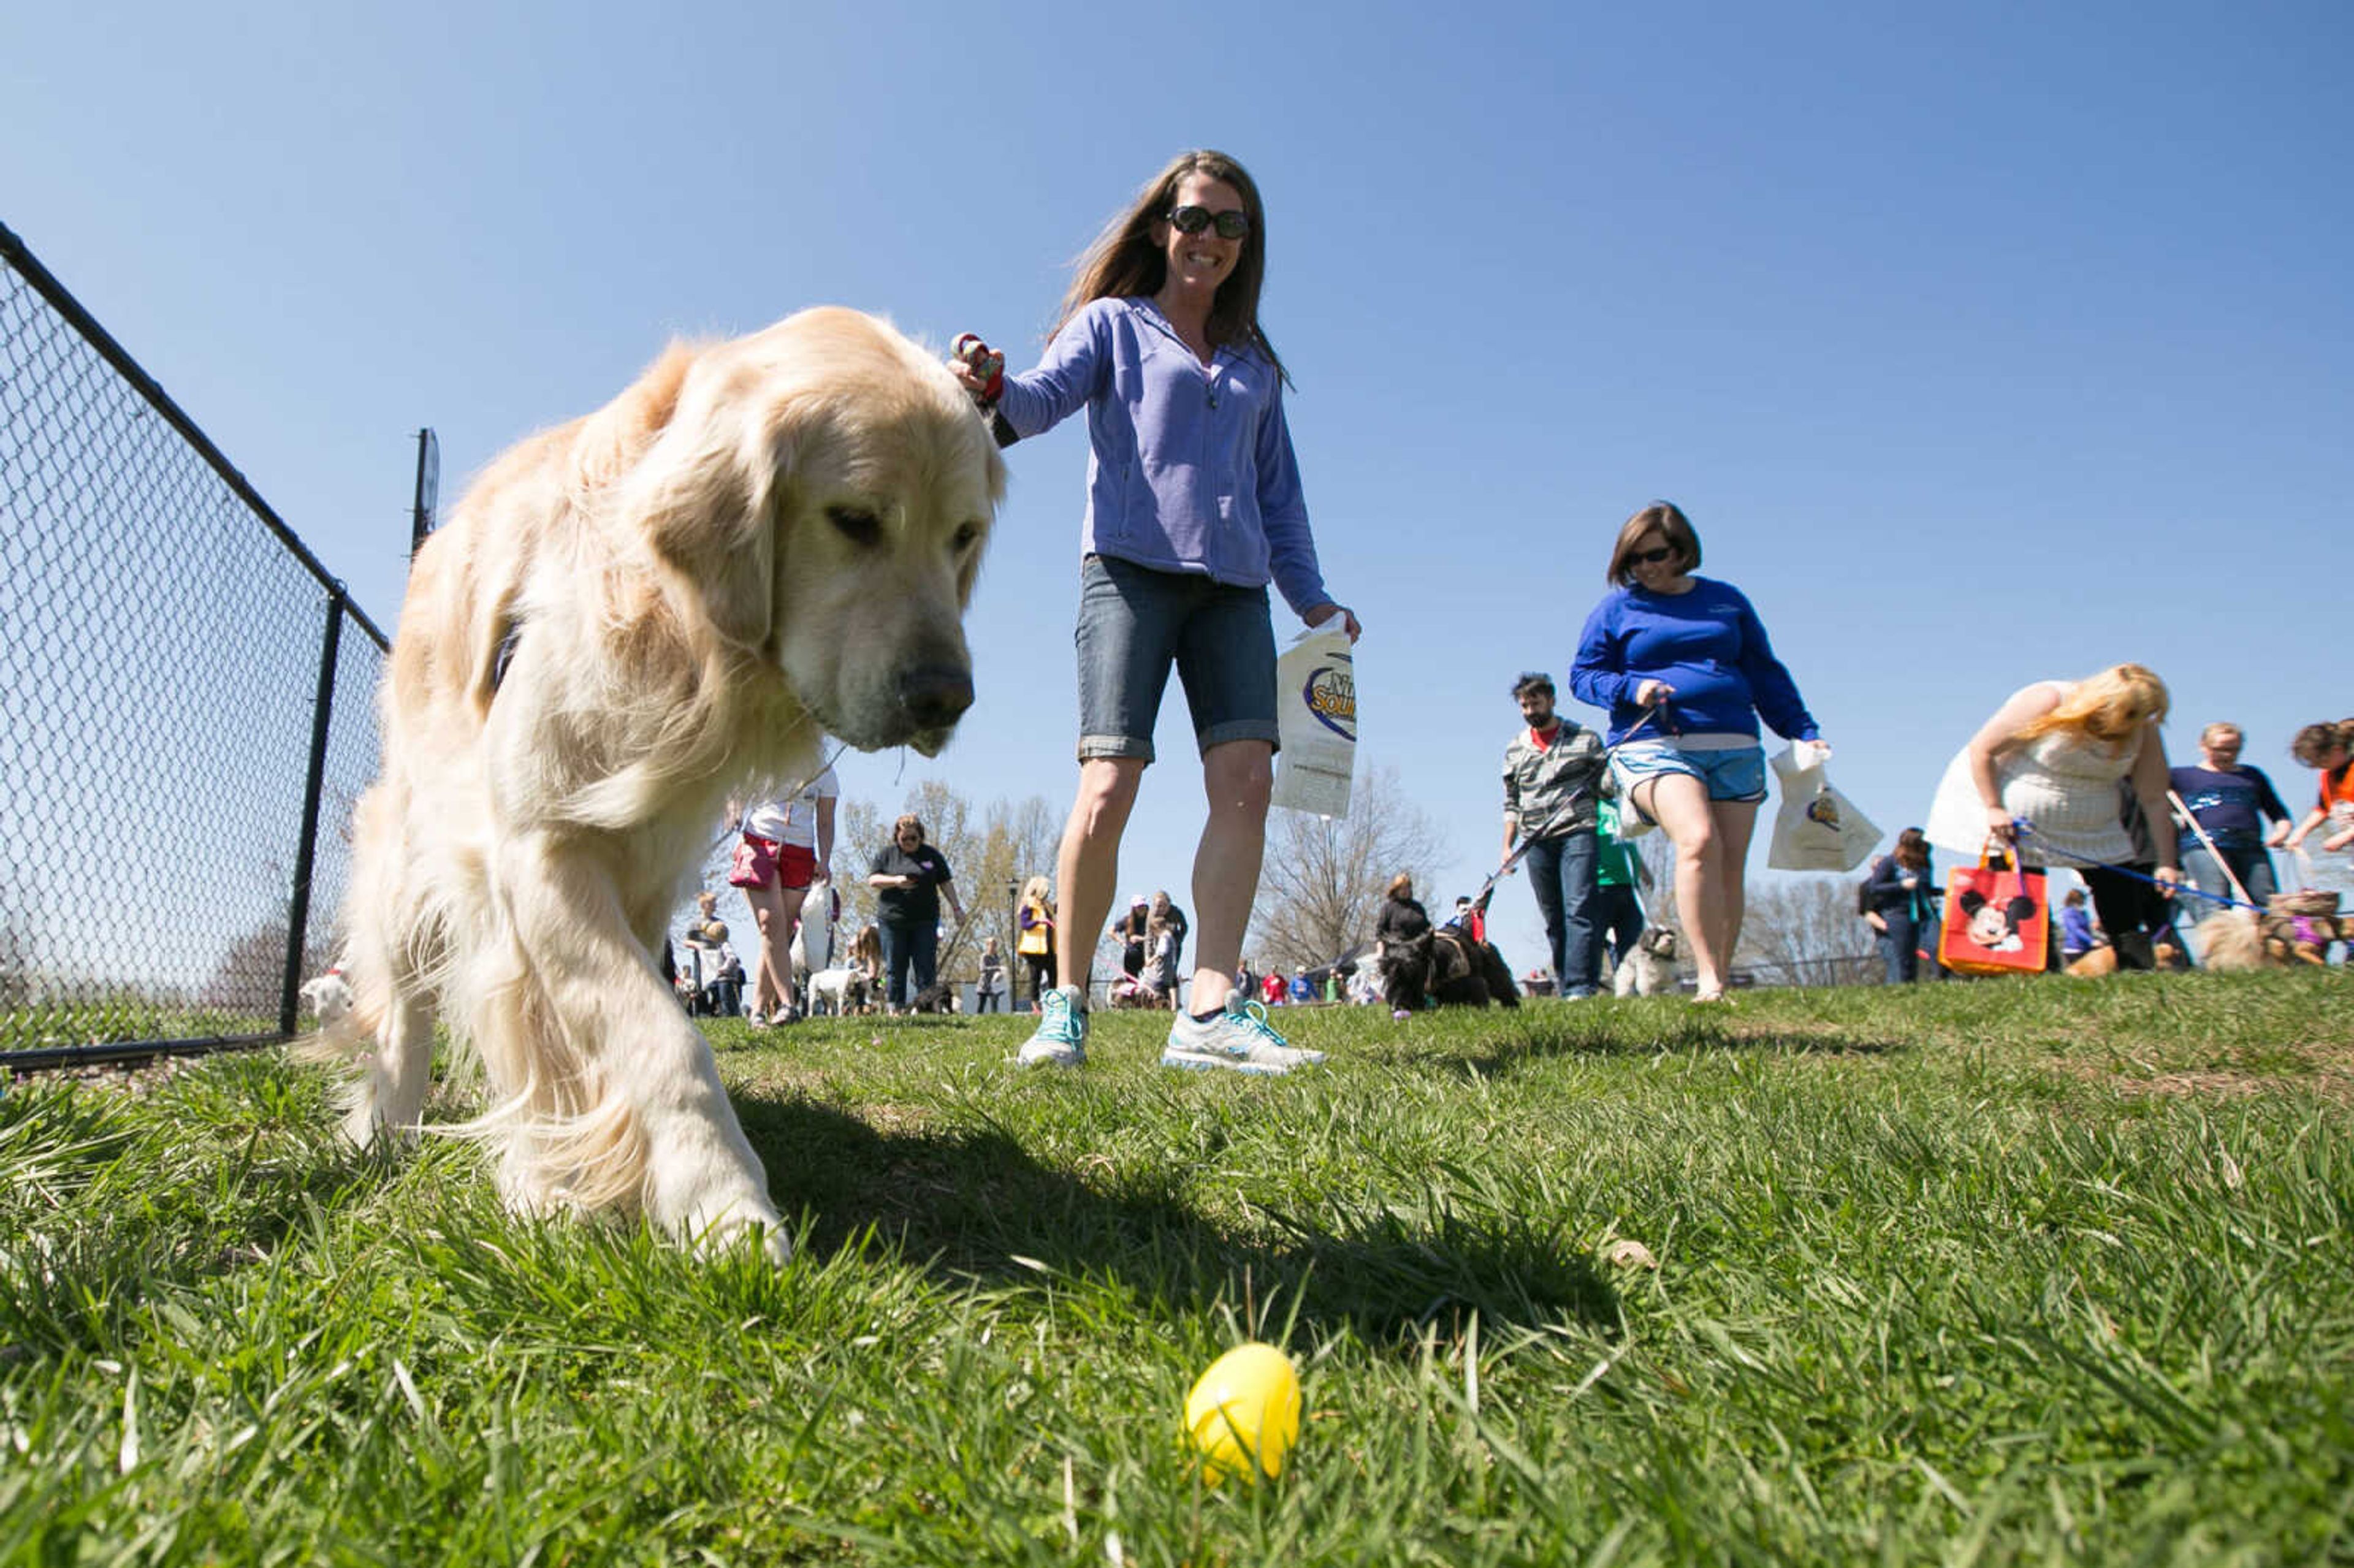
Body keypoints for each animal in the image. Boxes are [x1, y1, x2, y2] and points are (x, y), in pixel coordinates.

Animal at [306, 308, 1002, 1262]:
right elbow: (659, 1036)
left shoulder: (640, 866)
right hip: (413, 846)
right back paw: (385, 1129)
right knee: (404, 1008)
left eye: (963, 535)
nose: (947, 697)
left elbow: (604, 1035)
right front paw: (720, 1196)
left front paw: (584, 1177)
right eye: (855, 520)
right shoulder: (539, 846)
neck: (677, 630)